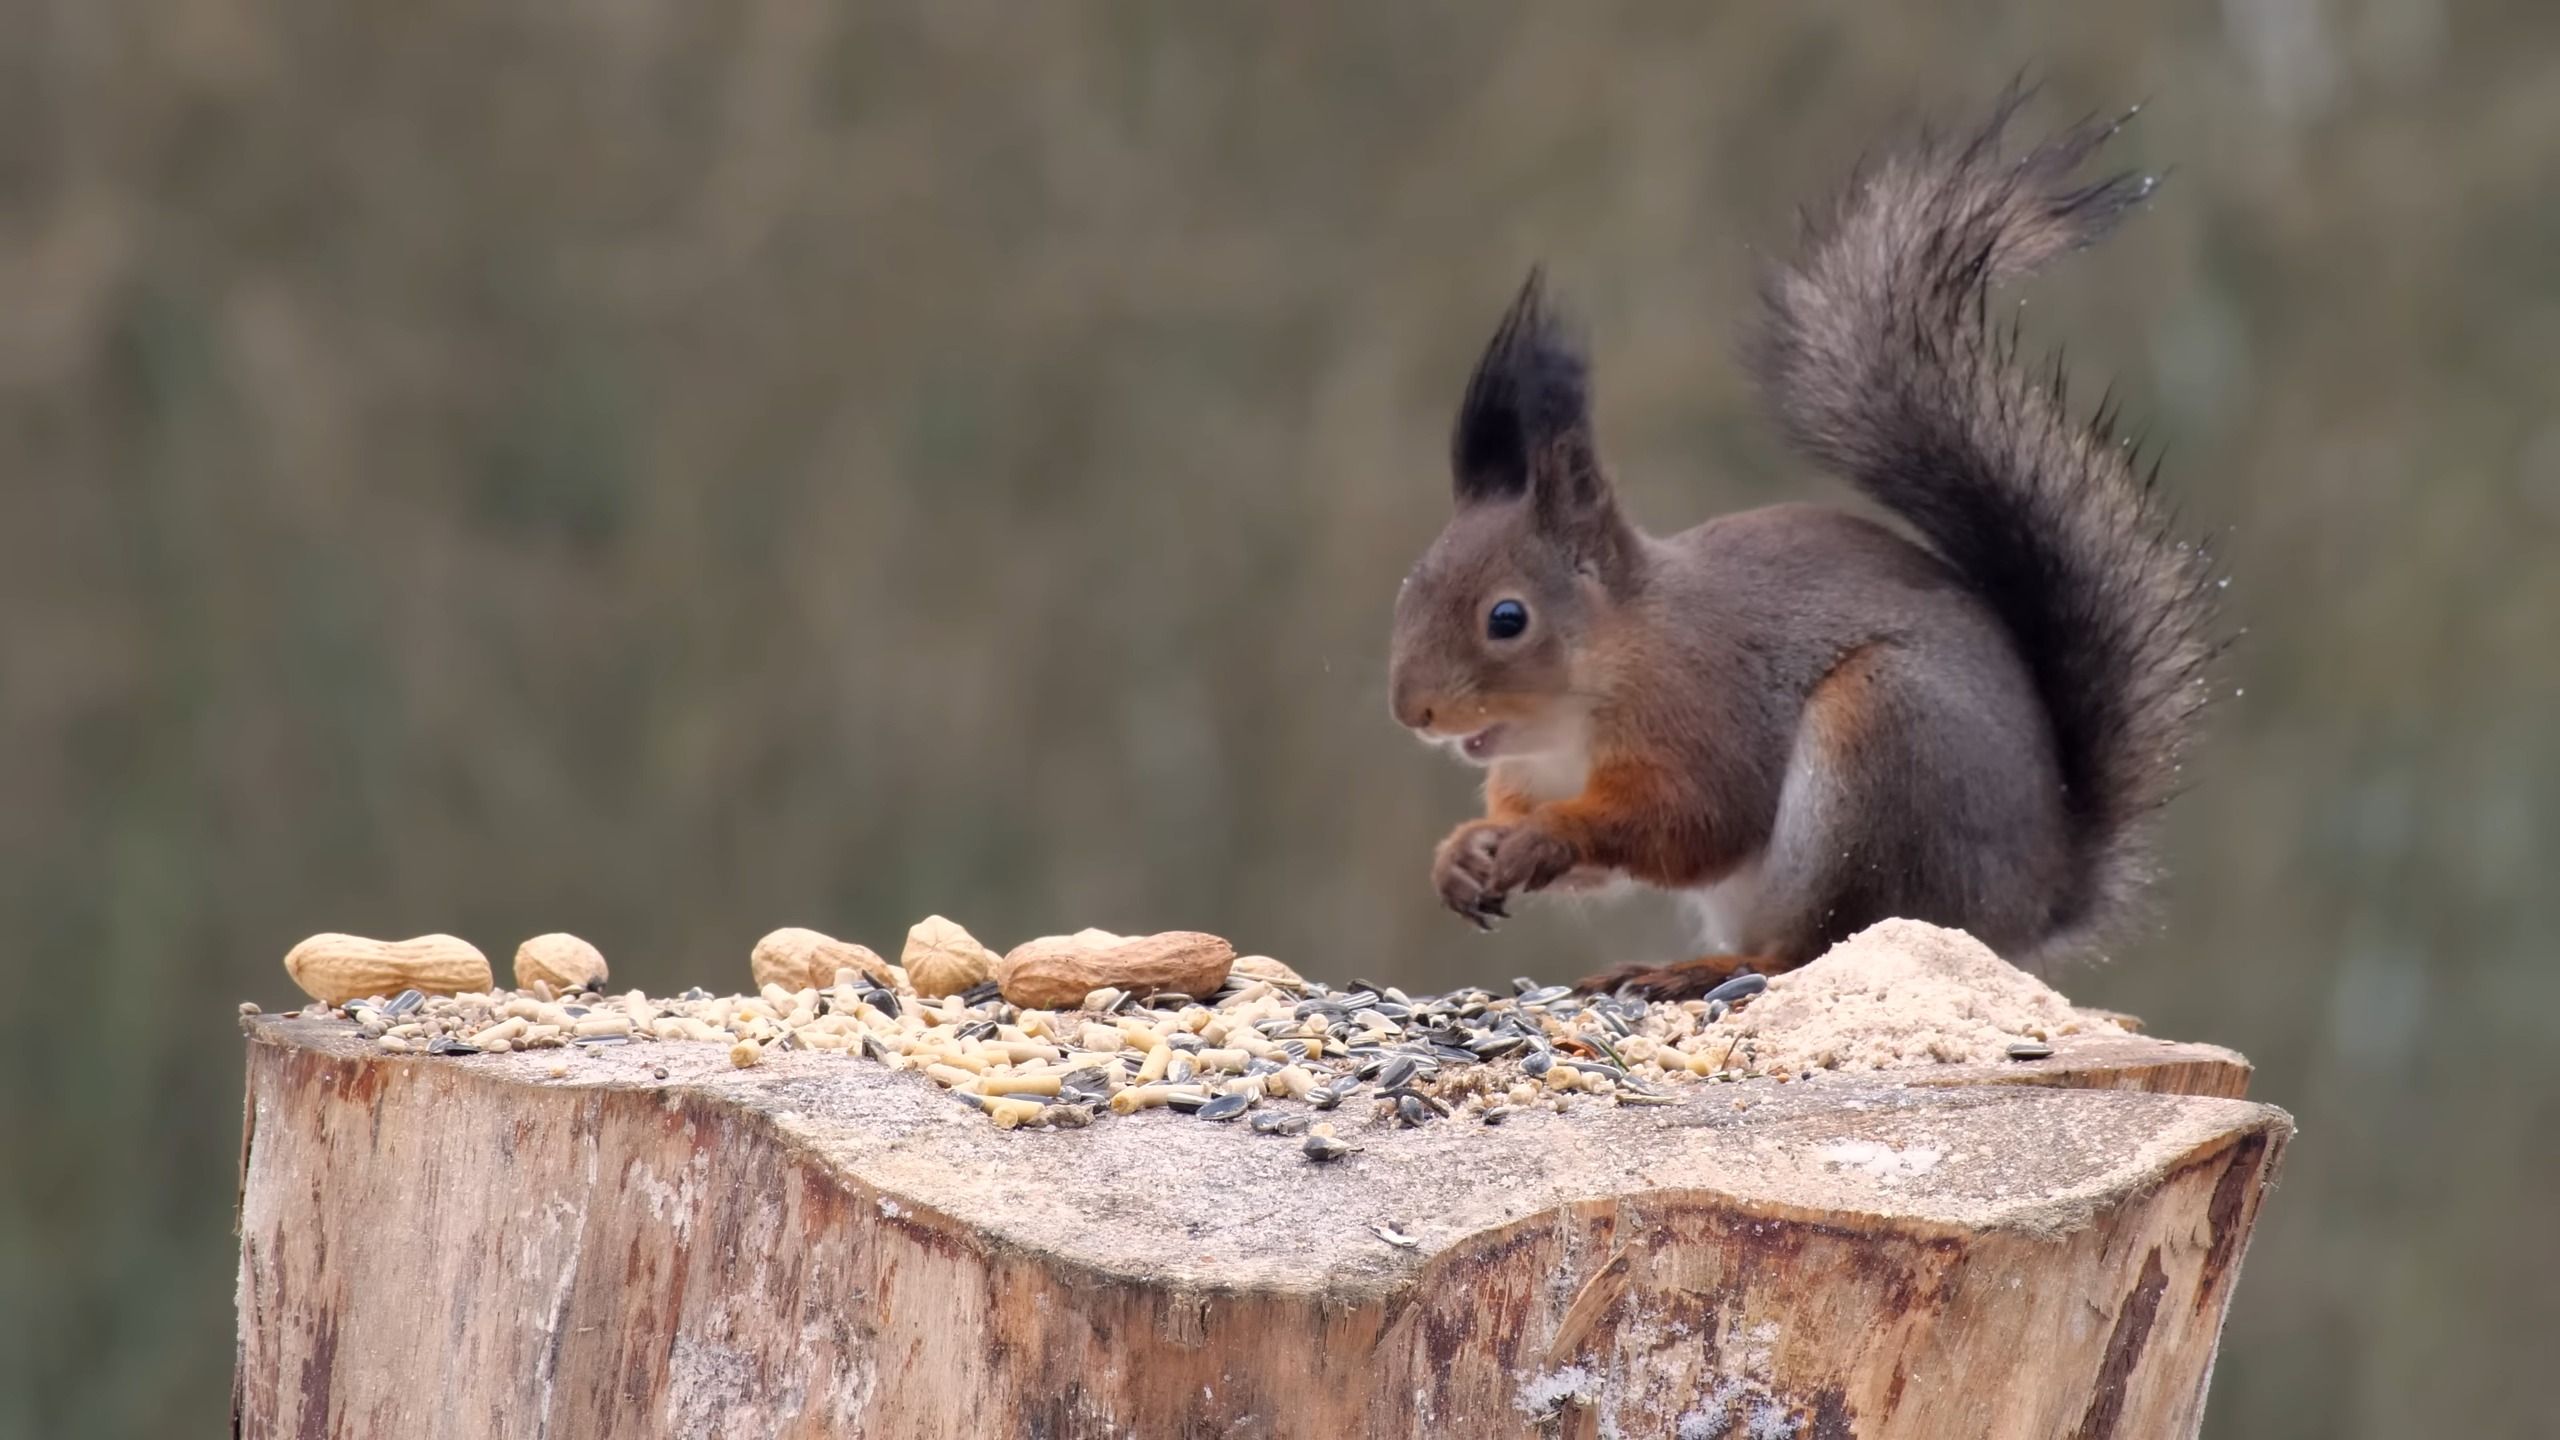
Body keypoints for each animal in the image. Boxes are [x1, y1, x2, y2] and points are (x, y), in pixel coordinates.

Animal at [1392, 98, 2211, 999]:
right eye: (1407, 591)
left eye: (1507, 618)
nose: (1411, 711)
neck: (1589, 692)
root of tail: (2029, 904)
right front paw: (1465, 852)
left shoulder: (1701, 710)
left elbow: (1691, 822)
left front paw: (1545, 838)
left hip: (1880, 756)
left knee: (1813, 946)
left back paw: (1702, 969)